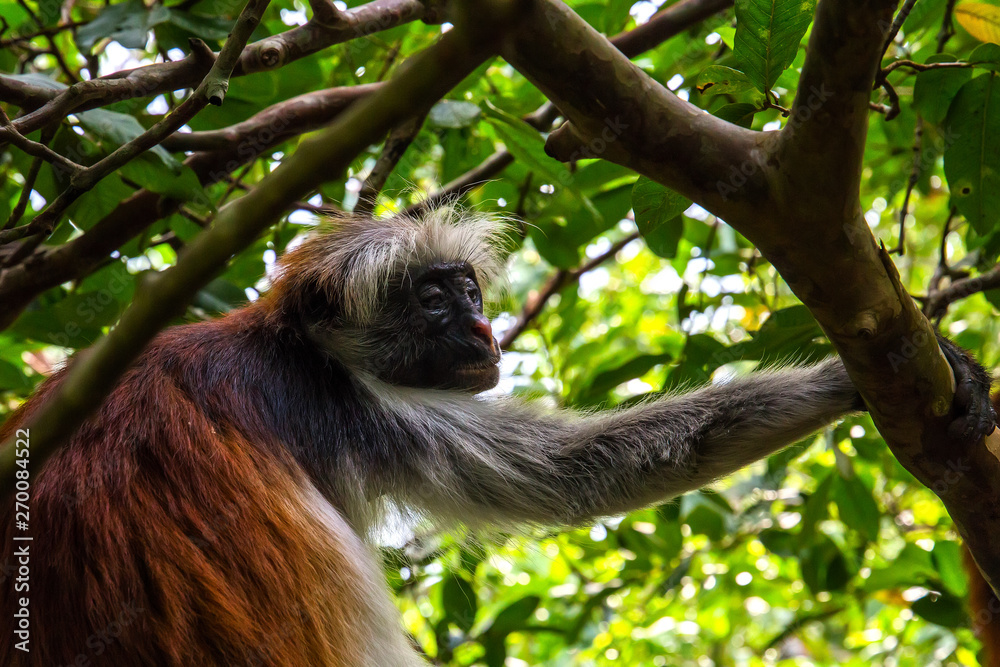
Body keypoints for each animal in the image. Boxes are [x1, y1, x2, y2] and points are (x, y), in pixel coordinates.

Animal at [0, 208, 993, 666]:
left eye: (470, 290)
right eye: (433, 299)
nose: (481, 329)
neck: (275, 340)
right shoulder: (344, 406)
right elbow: (572, 475)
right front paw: (840, 382)